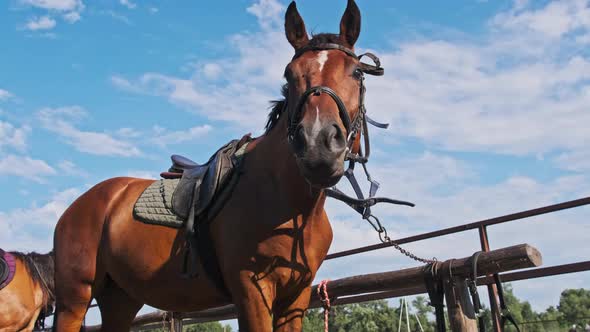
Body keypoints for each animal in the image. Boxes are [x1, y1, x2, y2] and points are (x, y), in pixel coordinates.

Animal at [54, 1, 370, 330]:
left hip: (121, 299)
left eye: (357, 73)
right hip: (74, 301)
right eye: (289, 74)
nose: (317, 145)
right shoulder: (251, 291)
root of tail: (79, 206)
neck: (288, 202)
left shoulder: (295, 296)